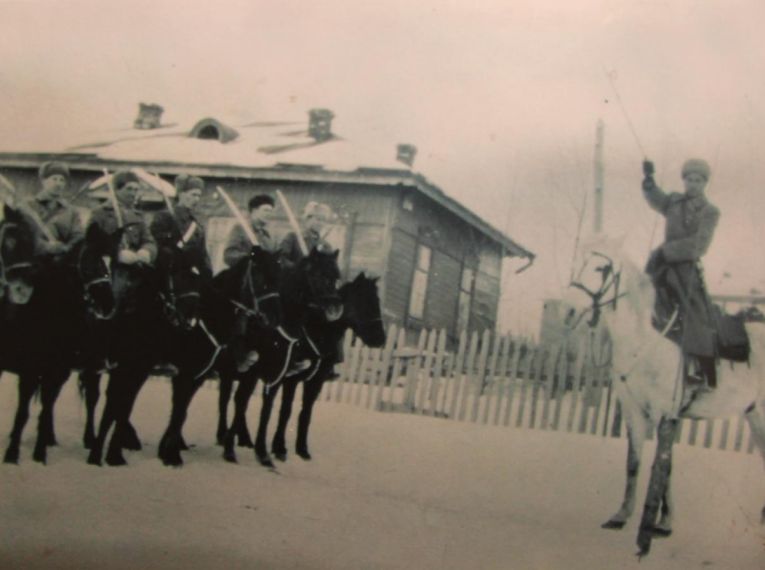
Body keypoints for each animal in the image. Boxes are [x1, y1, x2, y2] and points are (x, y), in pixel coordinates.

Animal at [85, 231, 204, 466]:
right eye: (173, 271)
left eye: (197, 278)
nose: (190, 321)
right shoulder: (126, 367)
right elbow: (116, 405)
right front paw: (101, 454)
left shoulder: (139, 369)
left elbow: (123, 405)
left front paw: (113, 453)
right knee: (93, 397)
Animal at [156, 244, 284, 466]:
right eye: (261, 279)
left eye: (279, 279)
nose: (274, 319)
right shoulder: (187, 373)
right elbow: (180, 409)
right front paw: (170, 452)